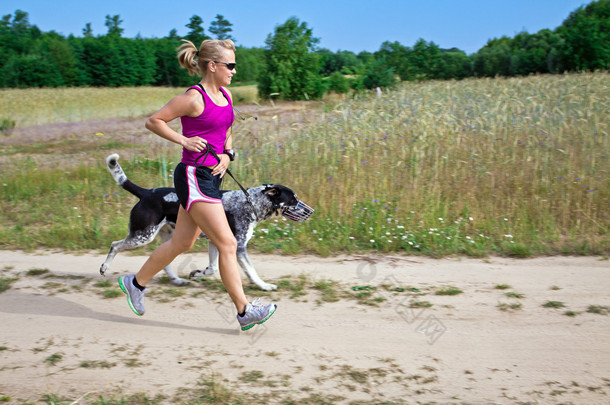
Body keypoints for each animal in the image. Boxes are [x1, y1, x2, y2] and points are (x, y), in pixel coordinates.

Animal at [100, 153, 314, 288]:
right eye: (293, 200)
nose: (311, 211)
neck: (251, 202)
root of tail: (146, 193)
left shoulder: (216, 242)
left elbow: (212, 268)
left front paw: (198, 273)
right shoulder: (238, 247)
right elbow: (251, 272)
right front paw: (264, 286)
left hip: (172, 238)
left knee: (162, 259)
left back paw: (177, 280)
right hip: (143, 236)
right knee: (115, 245)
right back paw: (105, 267)